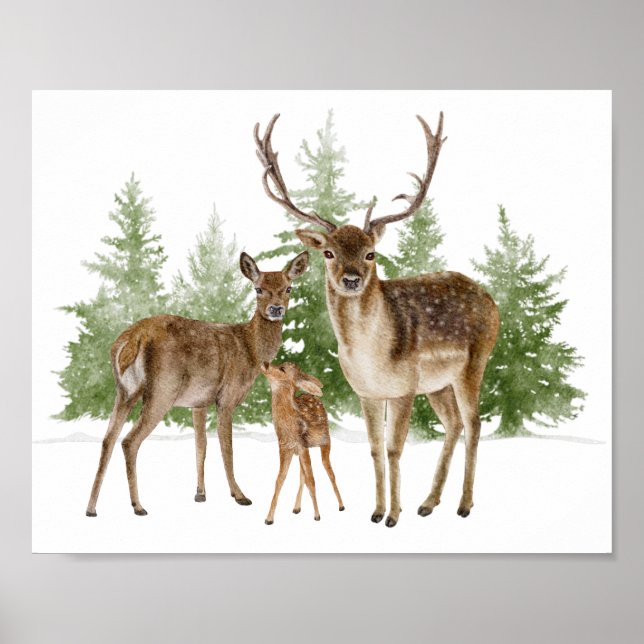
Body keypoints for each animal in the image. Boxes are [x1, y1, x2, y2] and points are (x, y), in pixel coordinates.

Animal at [85, 250, 309, 517]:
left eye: (288, 288)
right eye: (258, 289)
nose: (276, 309)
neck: (251, 350)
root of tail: (133, 338)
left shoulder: (199, 402)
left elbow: (201, 445)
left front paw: (200, 493)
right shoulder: (227, 397)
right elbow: (226, 447)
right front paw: (240, 495)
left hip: (124, 390)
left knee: (107, 439)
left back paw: (91, 508)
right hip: (162, 389)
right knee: (129, 441)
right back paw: (138, 506)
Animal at [260, 361, 345, 525]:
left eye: (282, 369)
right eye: (280, 364)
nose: (265, 363)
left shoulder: (302, 445)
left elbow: (311, 480)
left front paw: (317, 516)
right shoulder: (285, 447)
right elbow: (280, 480)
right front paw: (268, 519)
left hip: (325, 441)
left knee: (329, 471)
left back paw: (341, 505)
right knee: (302, 476)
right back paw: (296, 508)